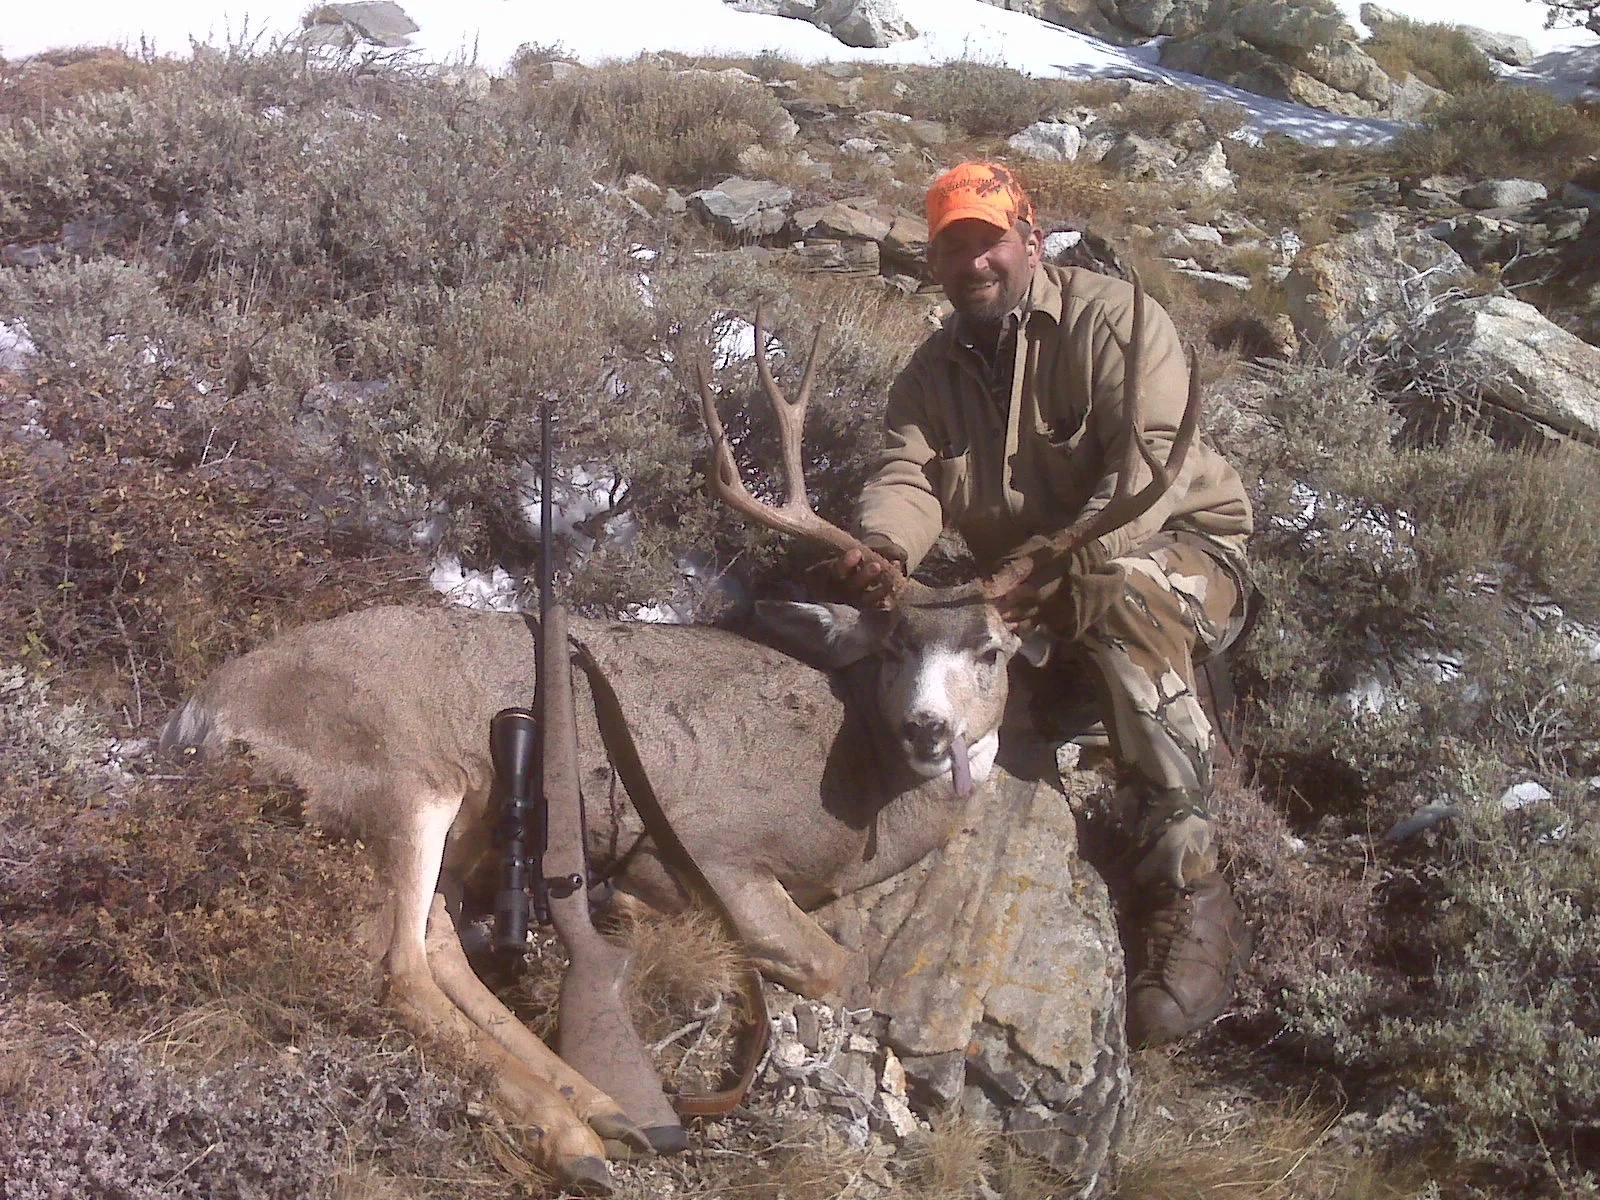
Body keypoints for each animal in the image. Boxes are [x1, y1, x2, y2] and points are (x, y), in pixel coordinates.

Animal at [159, 285, 1195, 1192]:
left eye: (990, 650)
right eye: (897, 642)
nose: (927, 727)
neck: (859, 791)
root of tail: (198, 708)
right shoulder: (704, 842)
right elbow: (833, 964)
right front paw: (656, 921)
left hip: (448, 823)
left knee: (440, 944)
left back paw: (602, 1110)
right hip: (400, 778)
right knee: (398, 964)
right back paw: (575, 1131)